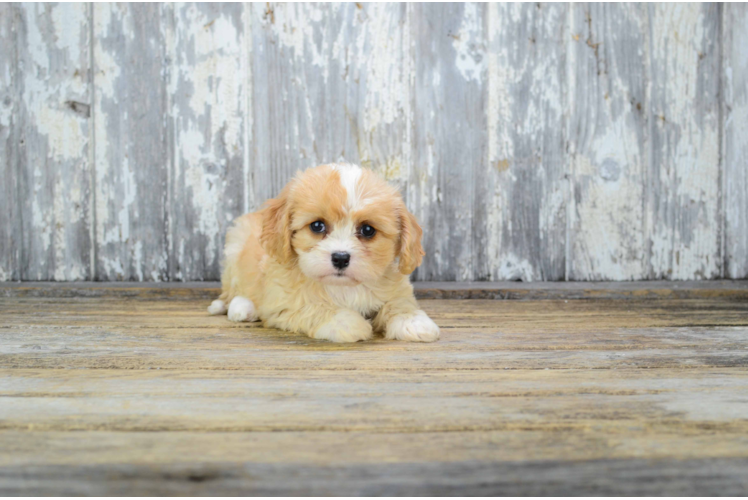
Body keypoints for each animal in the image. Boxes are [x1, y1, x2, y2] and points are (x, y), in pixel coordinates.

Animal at [206, 164, 438, 344]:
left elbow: (400, 302)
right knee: (232, 292)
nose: (341, 258)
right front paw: (349, 322)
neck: (344, 288)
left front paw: (413, 321)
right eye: (317, 226)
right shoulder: (286, 303)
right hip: (234, 249)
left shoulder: (396, 288)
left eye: (367, 230)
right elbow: (317, 309)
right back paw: (242, 307)